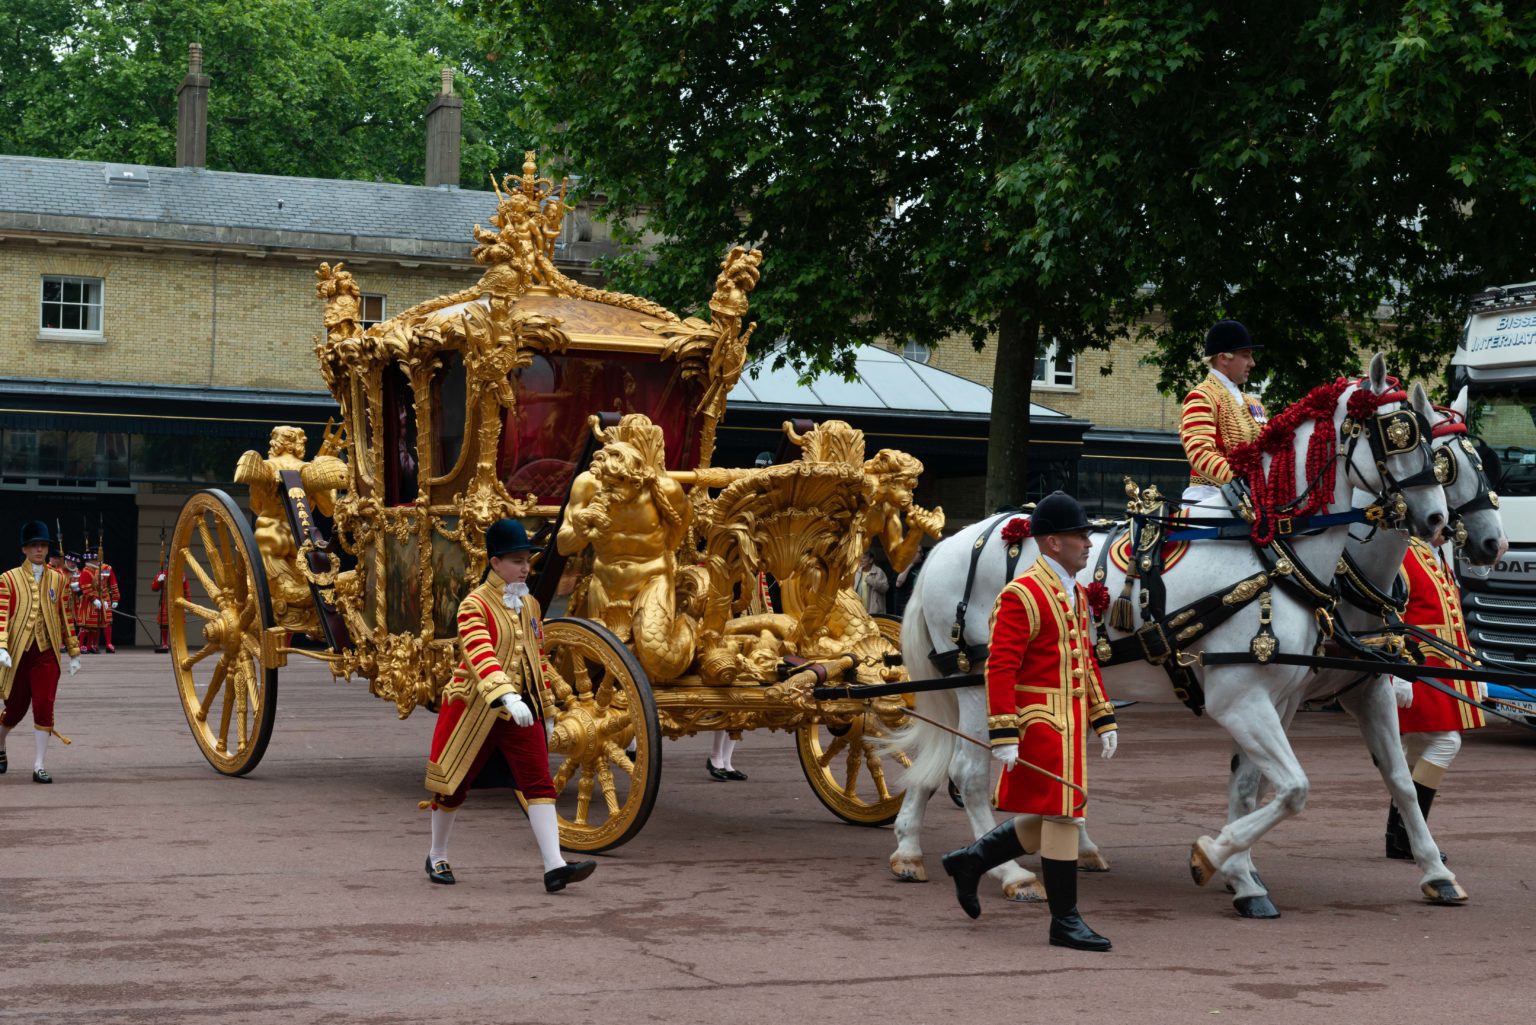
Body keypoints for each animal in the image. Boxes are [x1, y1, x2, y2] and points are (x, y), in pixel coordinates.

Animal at [890, 356, 1449, 915]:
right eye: (1398, 432)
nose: (1438, 519)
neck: (1270, 553)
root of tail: (952, 543)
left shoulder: (1281, 698)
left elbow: (1262, 786)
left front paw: (1241, 875)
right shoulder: (1239, 698)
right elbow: (1293, 788)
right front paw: (1214, 856)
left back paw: (915, 848)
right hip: (976, 682)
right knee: (968, 772)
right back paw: (1007, 872)